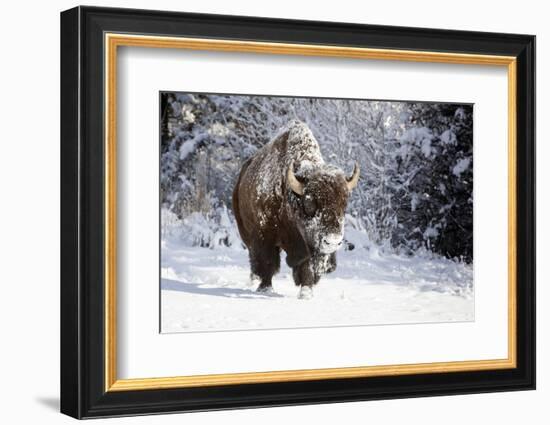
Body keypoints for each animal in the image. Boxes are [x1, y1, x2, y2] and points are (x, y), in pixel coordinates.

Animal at [232, 120, 358, 298]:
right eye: (309, 203)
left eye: (344, 204)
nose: (332, 241)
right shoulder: (264, 236)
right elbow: (267, 262)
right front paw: (265, 289)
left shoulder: (306, 245)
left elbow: (306, 266)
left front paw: (306, 293)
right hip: (245, 233)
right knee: (254, 259)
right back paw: (254, 281)